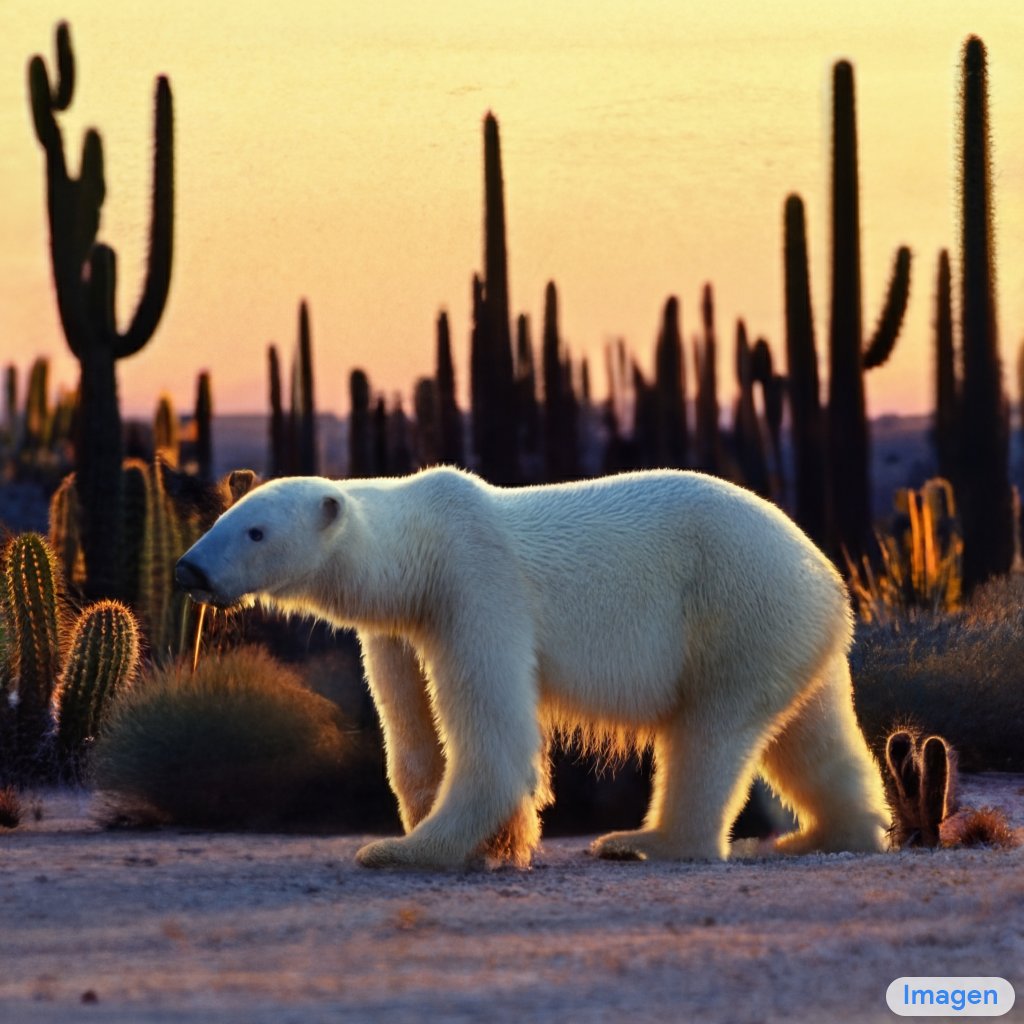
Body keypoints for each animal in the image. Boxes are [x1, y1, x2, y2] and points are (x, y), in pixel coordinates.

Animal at [175, 467, 890, 868]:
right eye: (222, 519)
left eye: (256, 532)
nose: (189, 570)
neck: (424, 545)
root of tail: (830, 581)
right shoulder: (402, 627)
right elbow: (407, 729)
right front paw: (475, 839)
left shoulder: (477, 586)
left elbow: (493, 738)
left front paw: (406, 850)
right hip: (789, 635)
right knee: (812, 736)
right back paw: (829, 834)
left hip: (733, 607)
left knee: (707, 735)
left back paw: (646, 841)